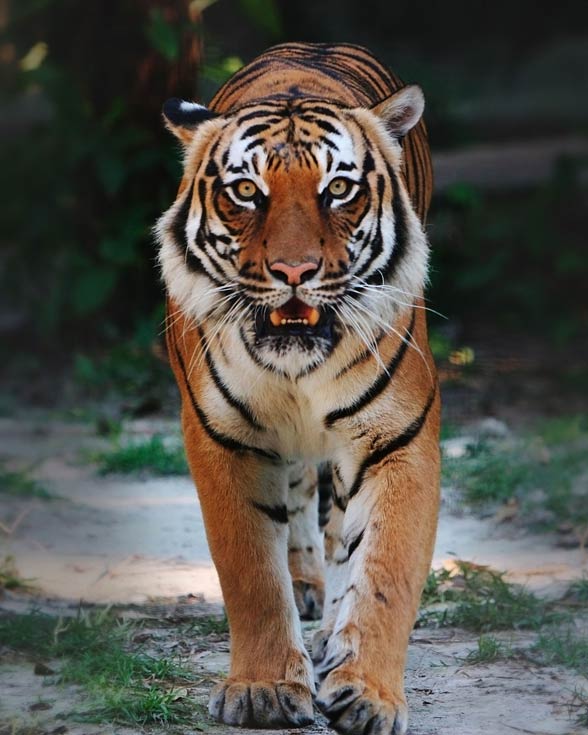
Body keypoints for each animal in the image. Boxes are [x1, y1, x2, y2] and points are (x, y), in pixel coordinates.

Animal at [157, 42, 440, 735]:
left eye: (337, 189)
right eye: (246, 191)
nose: (293, 271)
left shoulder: (398, 438)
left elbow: (385, 571)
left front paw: (368, 693)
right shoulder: (224, 437)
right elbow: (251, 574)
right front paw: (262, 690)